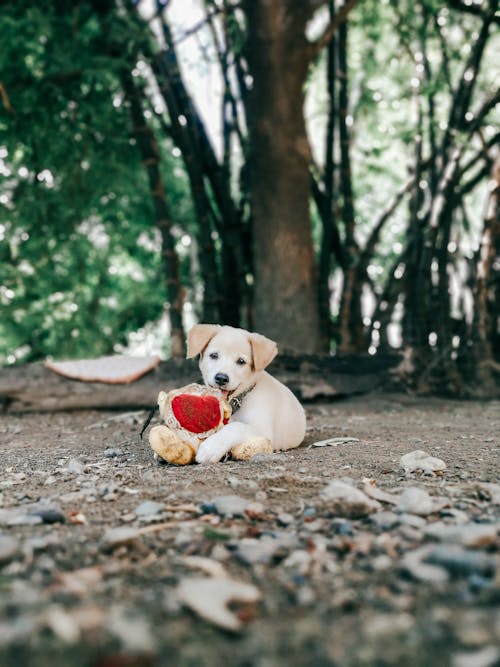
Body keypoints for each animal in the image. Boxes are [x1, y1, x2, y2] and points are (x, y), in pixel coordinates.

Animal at [187, 324, 306, 464]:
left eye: (241, 361)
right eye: (214, 355)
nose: (221, 378)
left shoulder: (264, 432)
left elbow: (237, 427)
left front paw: (211, 448)